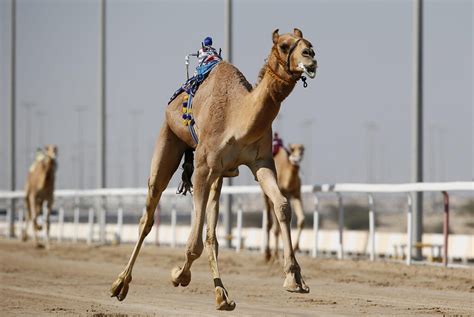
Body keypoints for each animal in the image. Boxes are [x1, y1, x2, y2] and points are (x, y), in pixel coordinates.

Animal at [110, 28, 318, 310]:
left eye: (308, 42)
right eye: (285, 45)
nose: (310, 56)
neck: (238, 117)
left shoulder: (261, 162)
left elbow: (282, 206)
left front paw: (294, 278)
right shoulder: (202, 167)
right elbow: (193, 242)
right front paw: (178, 275)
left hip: (219, 175)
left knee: (211, 233)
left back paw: (222, 294)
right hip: (169, 139)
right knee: (149, 213)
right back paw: (120, 284)